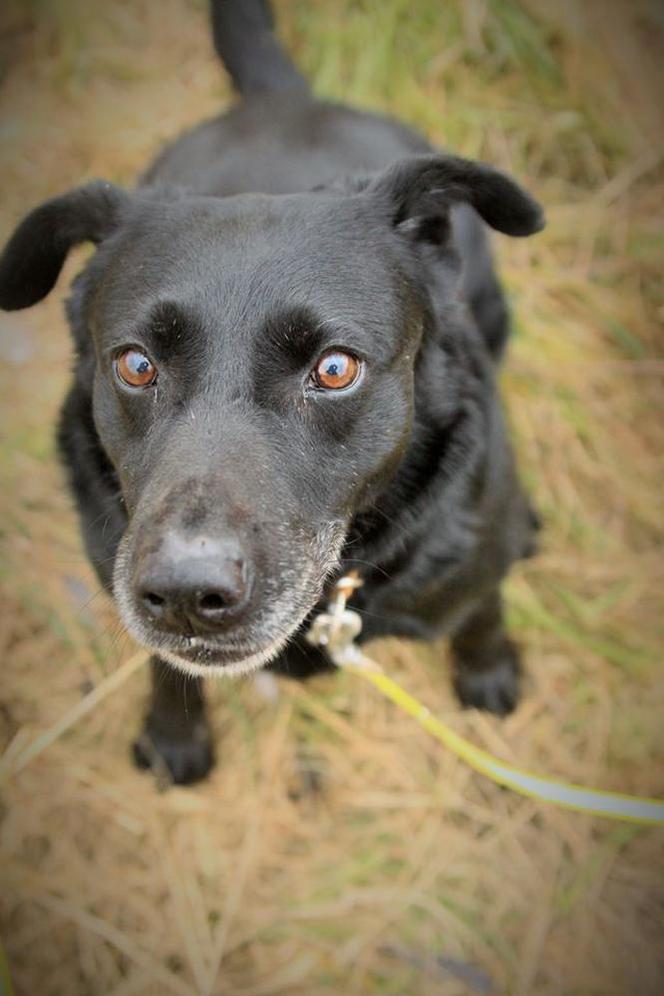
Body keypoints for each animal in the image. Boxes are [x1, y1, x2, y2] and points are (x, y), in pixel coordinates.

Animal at [0, 1, 544, 784]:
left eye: (336, 369)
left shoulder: (471, 557)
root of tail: (284, 99)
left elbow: (480, 608)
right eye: (135, 365)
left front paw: (488, 672)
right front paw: (174, 736)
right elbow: (165, 665)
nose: (186, 594)